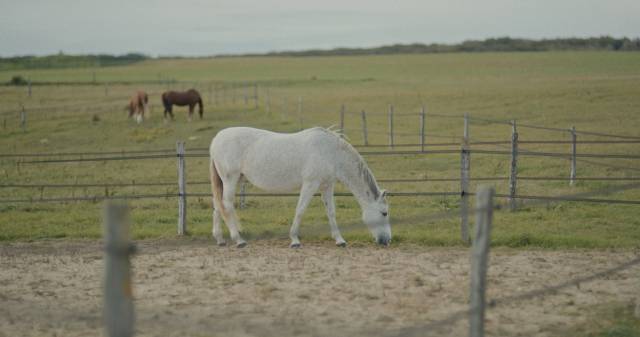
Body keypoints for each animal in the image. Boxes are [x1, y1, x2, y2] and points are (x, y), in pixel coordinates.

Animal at [210, 126, 390, 247]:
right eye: (384, 213)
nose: (387, 240)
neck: (331, 153)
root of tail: (216, 139)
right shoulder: (310, 184)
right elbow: (300, 210)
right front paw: (295, 239)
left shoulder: (327, 186)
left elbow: (331, 212)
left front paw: (340, 240)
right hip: (230, 179)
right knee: (226, 204)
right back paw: (238, 240)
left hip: (229, 180)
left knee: (218, 206)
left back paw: (220, 239)